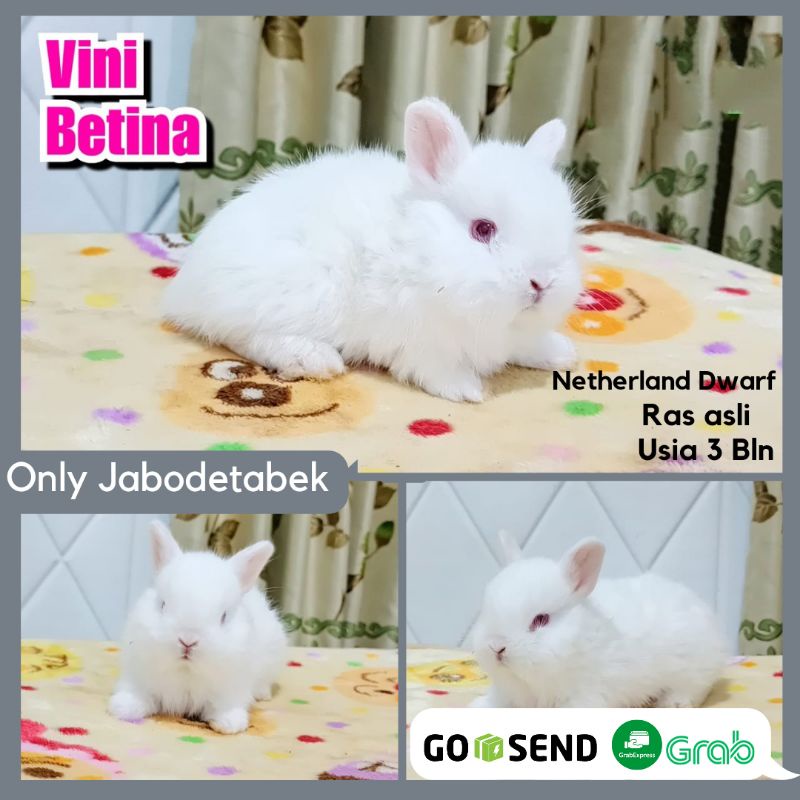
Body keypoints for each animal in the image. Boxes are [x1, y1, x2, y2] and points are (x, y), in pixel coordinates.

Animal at [108, 520, 287, 734]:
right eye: (163, 604)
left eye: (224, 616)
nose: (188, 641)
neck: (186, 672)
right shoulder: (138, 677)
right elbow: (138, 695)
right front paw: (123, 708)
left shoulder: (231, 689)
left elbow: (224, 707)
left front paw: (229, 723)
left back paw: (262, 694)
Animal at [162, 96, 582, 403]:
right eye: (483, 229)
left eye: (566, 230)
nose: (542, 283)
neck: (419, 250)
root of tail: (186, 287)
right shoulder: (416, 338)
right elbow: (433, 367)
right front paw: (466, 390)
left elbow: (525, 345)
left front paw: (561, 353)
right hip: (296, 294)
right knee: (242, 335)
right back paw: (313, 359)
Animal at [470, 531, 728, 709]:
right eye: (486, 610)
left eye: (541, 619)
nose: (496, 647)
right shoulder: (507, 695)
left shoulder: (586, 696)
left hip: (693, 671)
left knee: (694, 688)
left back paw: (672, 703)